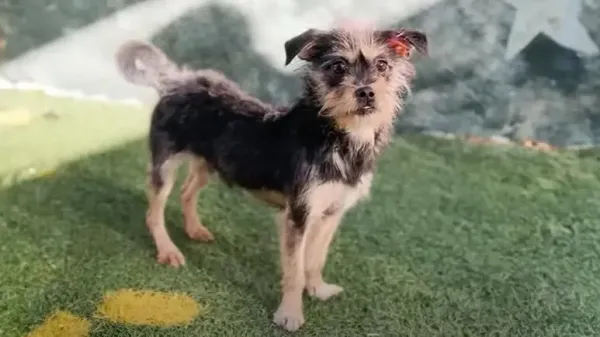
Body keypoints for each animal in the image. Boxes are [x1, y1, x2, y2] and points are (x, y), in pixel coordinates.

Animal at [116, 24, 426, 330]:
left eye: (383, 65)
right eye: (337, 66)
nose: (367, 93)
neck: (337, 136)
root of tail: (177, 80)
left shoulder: (331, 212)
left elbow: (316, 259)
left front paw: (318, 289)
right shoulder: (298, 214)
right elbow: (295, 270)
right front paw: (290, 314)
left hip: (211, 163)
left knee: (187, 191)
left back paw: (194, 229)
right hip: (165, 165)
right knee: (154, 212)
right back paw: (167, 249)